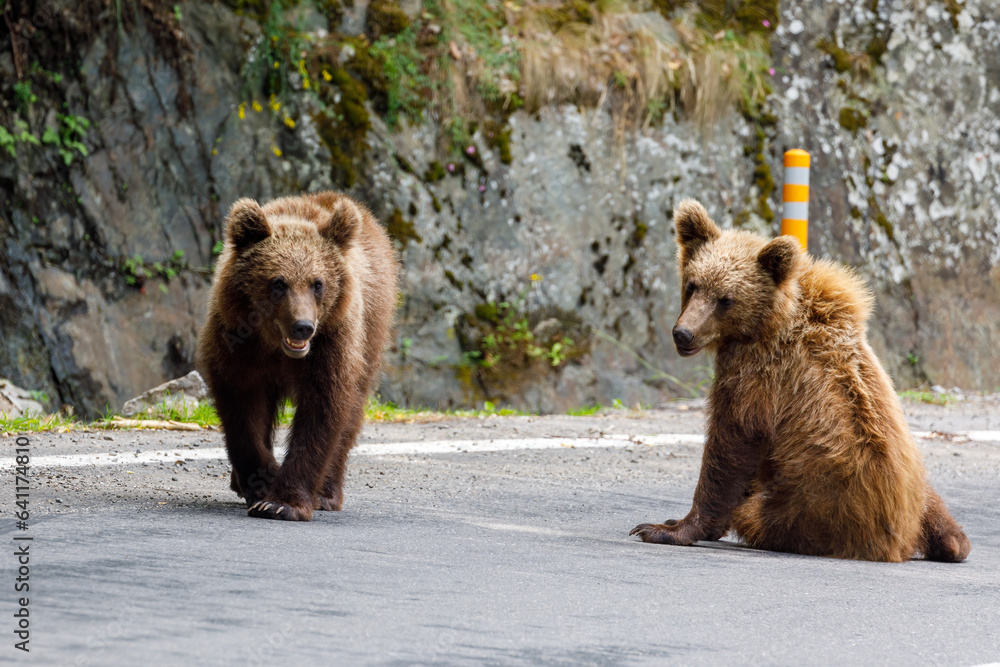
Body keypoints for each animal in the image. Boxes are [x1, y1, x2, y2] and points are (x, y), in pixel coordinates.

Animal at [196, 191, 399, 521]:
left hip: (371, 332)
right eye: (278, 282)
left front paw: (282, 503)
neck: (275, 347)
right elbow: (242, 409)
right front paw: (261, 481)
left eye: (318, 283)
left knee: (351, 415)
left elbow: (322, 411)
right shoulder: (237, 345)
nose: (302, 326)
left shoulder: (331, 345)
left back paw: (327, 494)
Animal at [630, 200, 970, 562]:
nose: (684, 333)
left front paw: (666, 528)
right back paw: (951, 540)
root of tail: (895, 541)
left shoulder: (758, 375)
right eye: (692, 284)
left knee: (762, 514)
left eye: (726, 299)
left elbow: (732, 440)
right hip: (910, 478)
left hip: (810, 509)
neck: (766, 322)